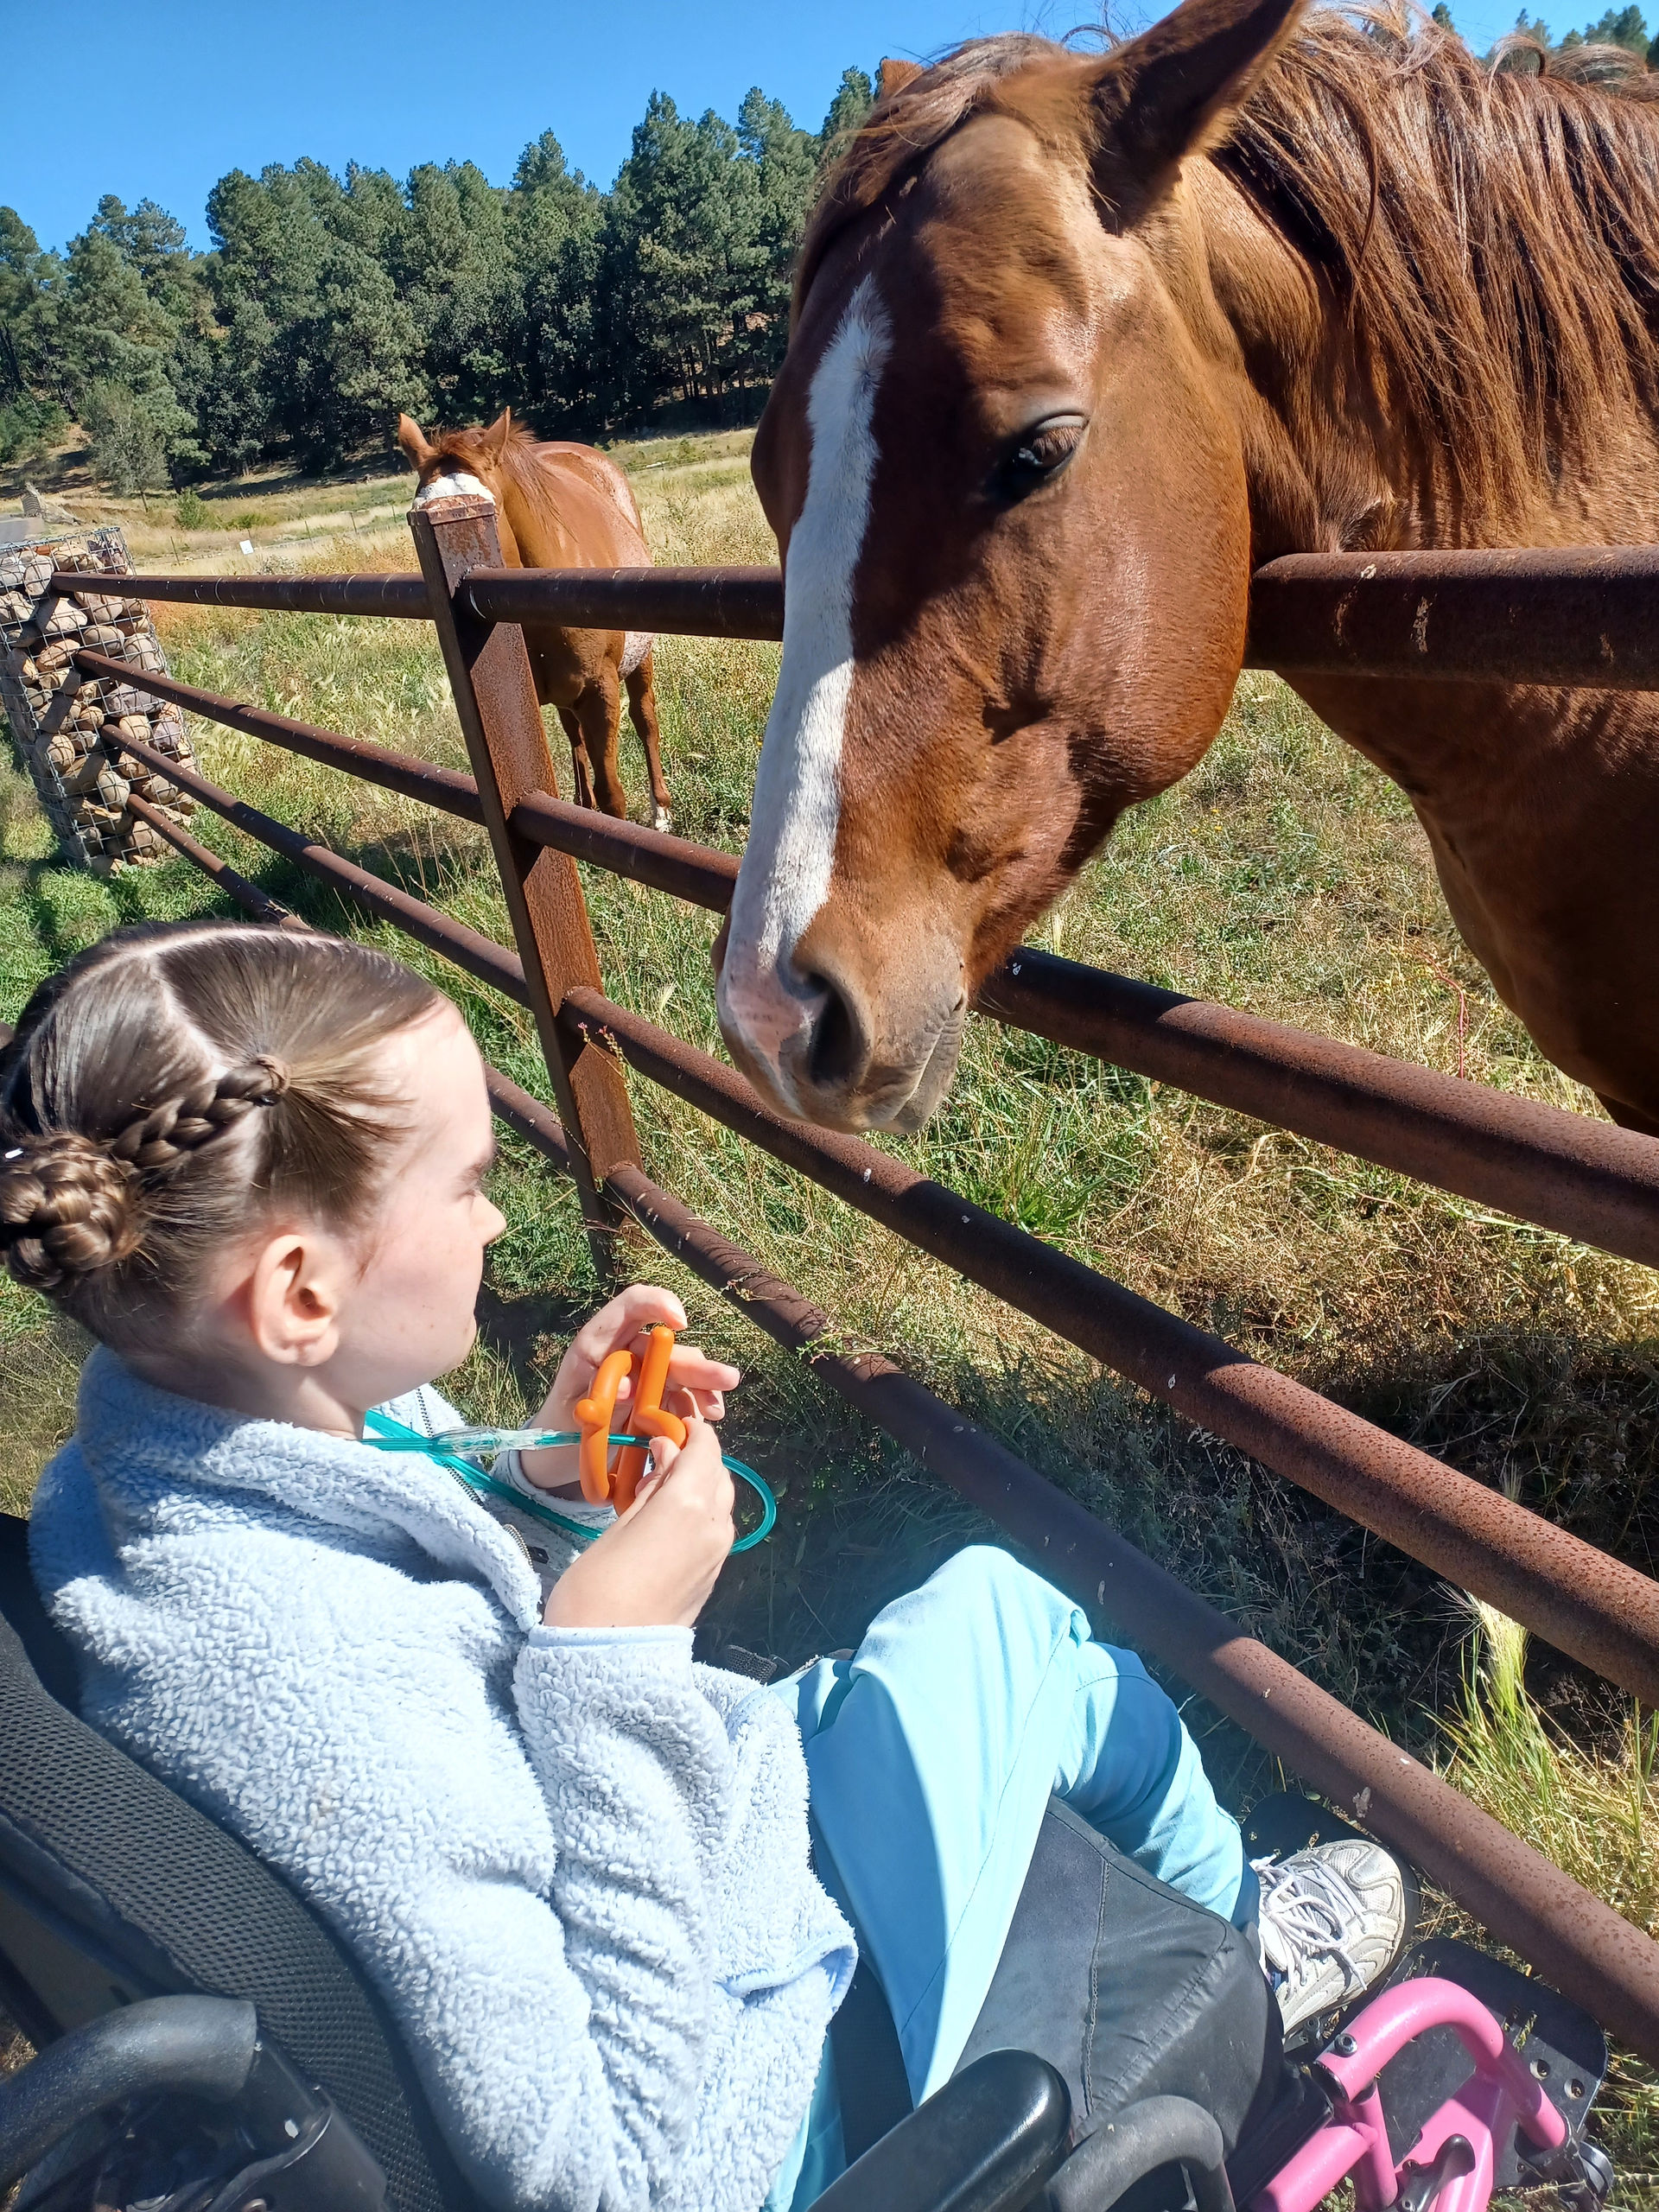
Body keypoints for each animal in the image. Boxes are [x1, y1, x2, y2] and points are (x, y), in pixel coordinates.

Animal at [398, 410, 674, 830]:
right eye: (415, 518)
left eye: (486, 509)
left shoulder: (601, 692)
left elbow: (612, 796)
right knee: (575, 736)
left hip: (639, 659)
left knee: (645, 720)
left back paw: (660, 810)